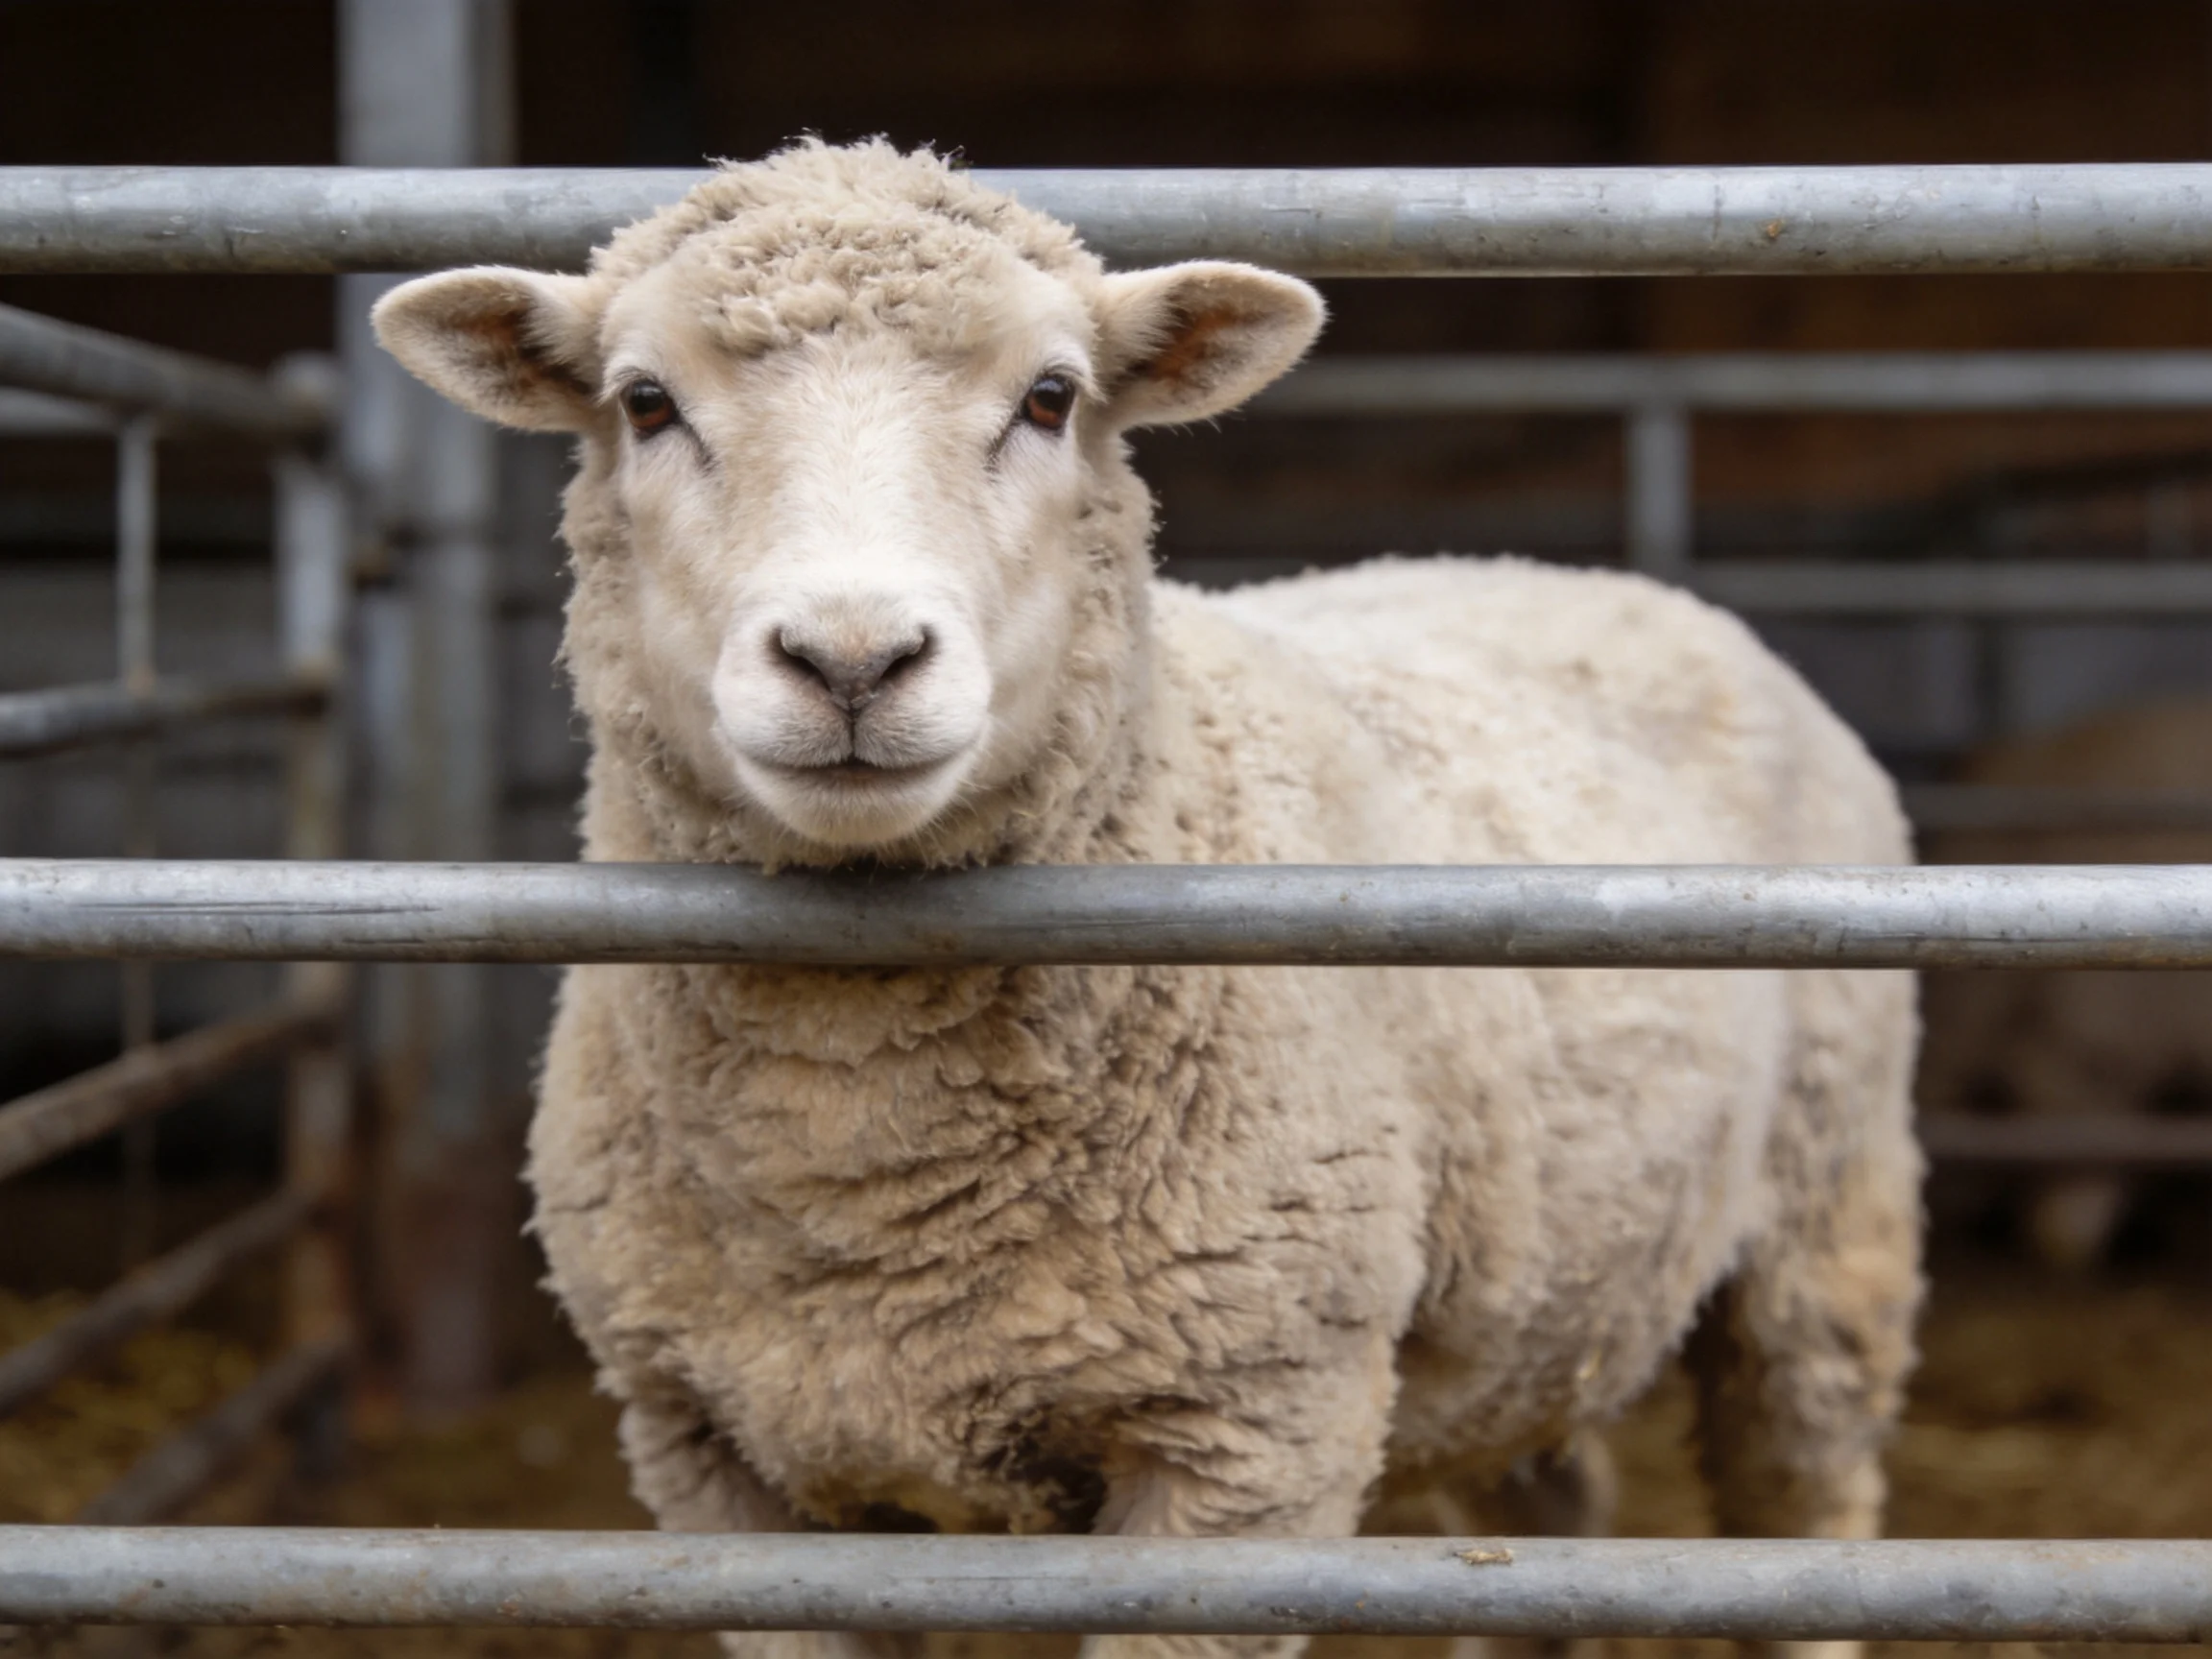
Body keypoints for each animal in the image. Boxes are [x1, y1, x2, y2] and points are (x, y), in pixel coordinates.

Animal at [372, 140, 1923, 1659]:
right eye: (646, 404)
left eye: (1051, 398)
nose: (853, 658)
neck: (859, 1172)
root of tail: (1575, 575)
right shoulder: (719, 1463)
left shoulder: (1251, 1443)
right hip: (1547, 1306)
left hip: (1825, 1227)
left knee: (1810, 1517)